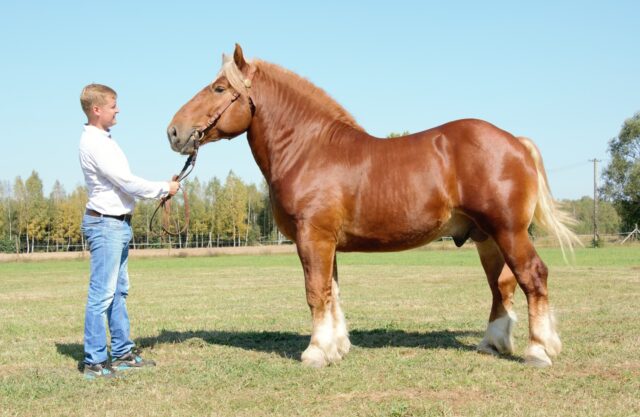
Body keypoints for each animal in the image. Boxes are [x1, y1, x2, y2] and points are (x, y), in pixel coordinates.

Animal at [166, 43, 580, 368]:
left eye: (220, 88)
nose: (174, 131)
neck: (310, 149)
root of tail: (514, 141)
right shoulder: (327, 242)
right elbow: (332, 293)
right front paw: (336, 347)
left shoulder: (312, 237)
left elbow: (315, 292)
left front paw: (315, 352)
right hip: (486, 237)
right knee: (502, 285)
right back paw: (493, 343)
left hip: (508, 231)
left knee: (533, 277)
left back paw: (539, 350)